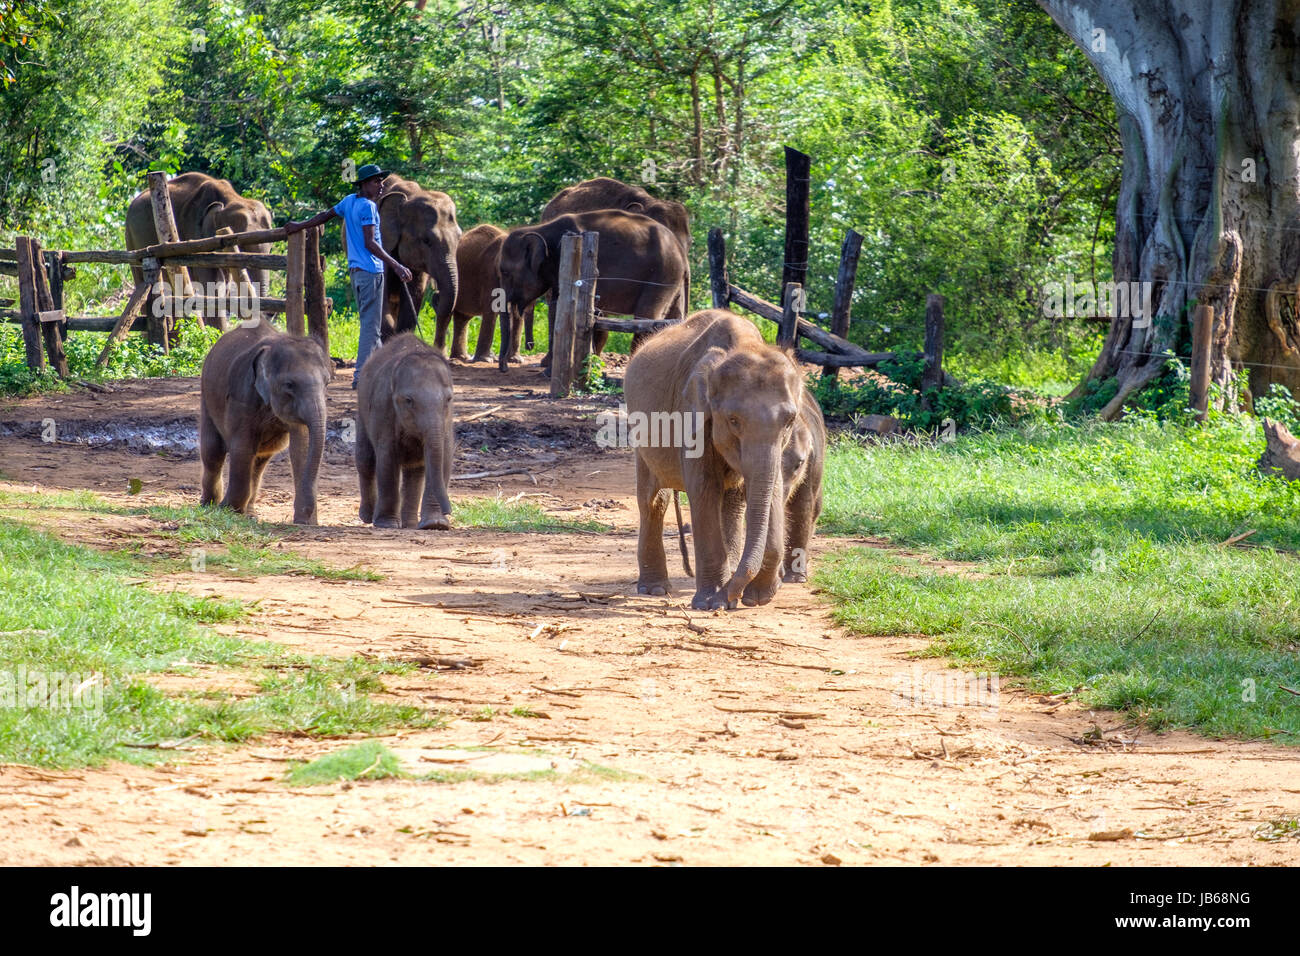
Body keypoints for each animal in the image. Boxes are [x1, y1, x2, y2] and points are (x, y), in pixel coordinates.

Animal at [125, 171, 273, 306]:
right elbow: (212, 284)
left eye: (270, 249)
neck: (230, 197)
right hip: (133, 242)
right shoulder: (195, 234)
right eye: (239, 246)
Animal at [197, 325, 332, 528]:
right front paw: (228, 509)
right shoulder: (242, 395)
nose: (307, 514)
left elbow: (301, 446)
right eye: (289, 385)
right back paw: (208, 505)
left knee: (261, 459)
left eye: (327, 382)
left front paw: (303, 521)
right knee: (213, 450)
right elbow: (242, 446)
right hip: (206, 395)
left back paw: (250, 514)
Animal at [356, 335, 457, 530]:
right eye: (409, 400)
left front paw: (435, 524)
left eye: (449, 399)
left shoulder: (447, 421)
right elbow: (387, 460)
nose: (448, 510)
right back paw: (368, 517)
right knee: (366, 460)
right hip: (361, 412)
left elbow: (444, 458)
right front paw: (386, 524)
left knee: (415, 471)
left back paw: (409, 524)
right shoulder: (384, 410)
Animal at [371, 175, 462, 348]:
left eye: (459, 237)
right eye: (426, 240)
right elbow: (381, 292)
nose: (437, 294)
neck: (409, 197)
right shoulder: (381, 239)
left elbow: (414, 295)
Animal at [491, 208, 686, 369]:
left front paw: (550, 370)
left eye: (505, 272)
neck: (540, 230)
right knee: (673, 316)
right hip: (671, 278)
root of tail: (680, 249)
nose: (504, 368)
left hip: (662, 272)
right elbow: (557, 306)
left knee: (646, 315)